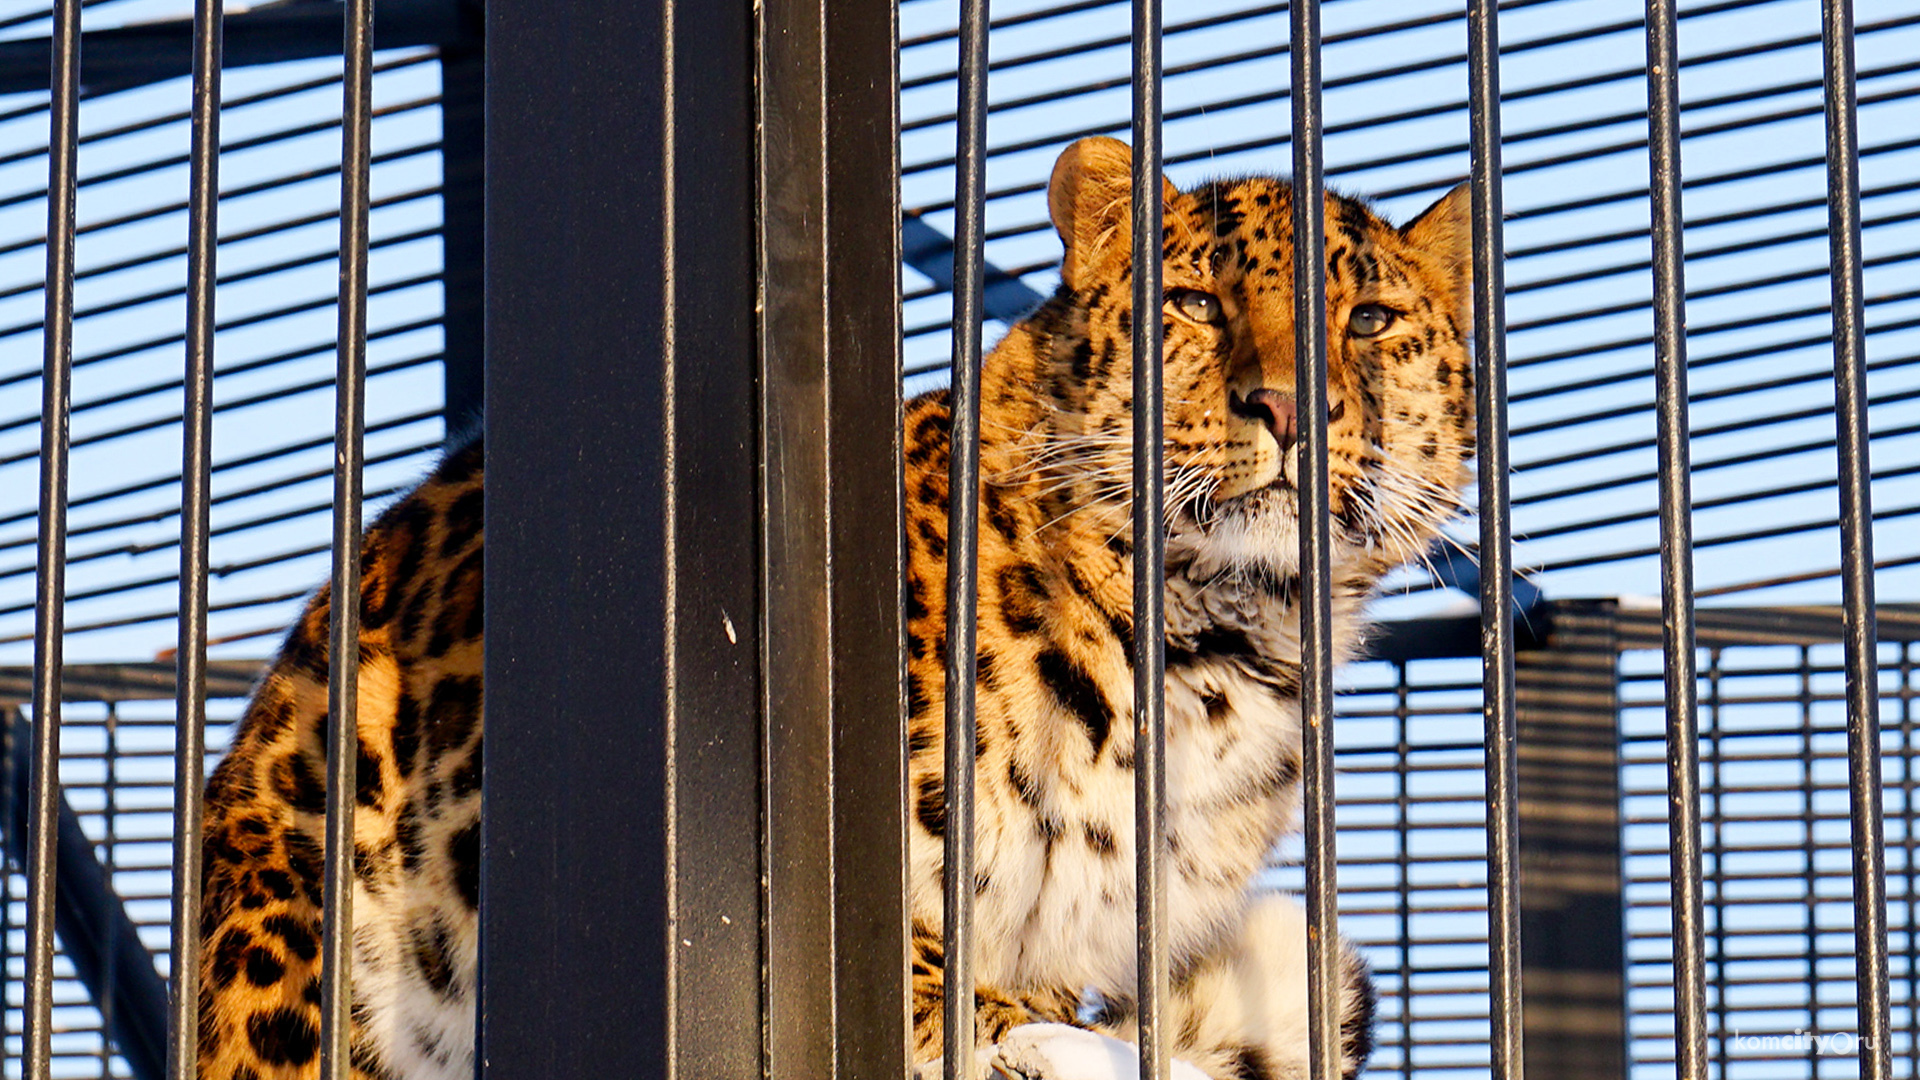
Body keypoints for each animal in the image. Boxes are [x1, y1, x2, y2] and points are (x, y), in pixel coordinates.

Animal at [191, 136, 1466, 1076]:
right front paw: (1050, 1047)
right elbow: (934, 985)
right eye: (1196, 304)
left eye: (1368, 322)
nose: (1288, 407)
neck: (1219, 637)